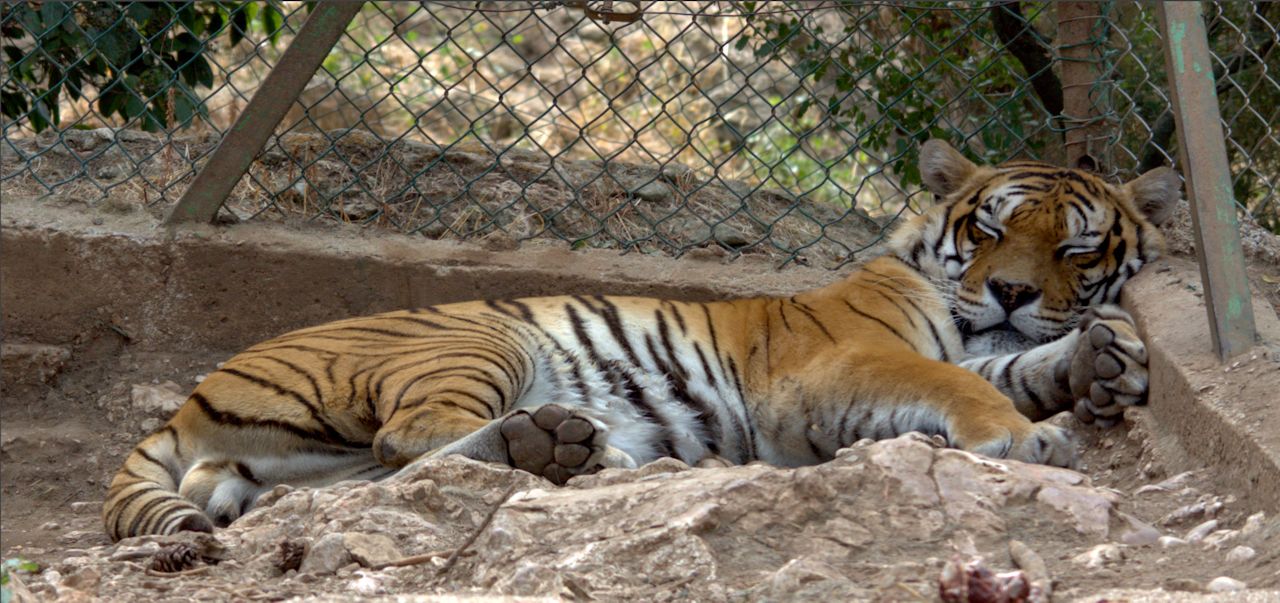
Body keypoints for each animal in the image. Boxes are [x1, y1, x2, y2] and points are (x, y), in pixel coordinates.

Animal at [102, 141, 1177, 542]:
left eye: (1076, 247)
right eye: (989, 230)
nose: (1009, 290)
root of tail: (193, 392)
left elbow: (1018, 361)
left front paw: (1102, 359)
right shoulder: (836, 364)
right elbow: (963, 383)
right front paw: (1025, 434)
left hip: (296, 466)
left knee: (370, 477)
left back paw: (569, 450)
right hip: (475, 340)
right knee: (412, 442)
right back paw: (580, 448)